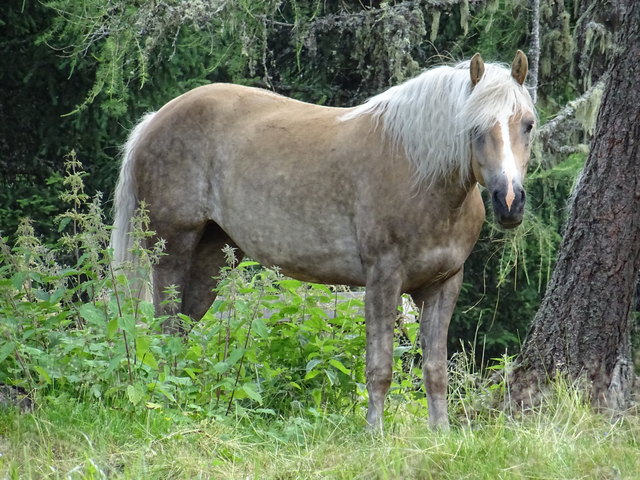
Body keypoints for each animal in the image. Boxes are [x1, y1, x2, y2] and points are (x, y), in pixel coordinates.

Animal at [111, 51, 535, 430]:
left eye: (528, 124)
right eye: (474, 128)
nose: (509, 201)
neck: (419, 175)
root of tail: (153, 120)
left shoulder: (443, 285)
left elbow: (435, 370)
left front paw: (440, 435)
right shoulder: (383, 280)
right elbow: (380, 367)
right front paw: (374, 434)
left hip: (209, 258)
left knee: (182, 329)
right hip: (172, 251)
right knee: (165, 330)